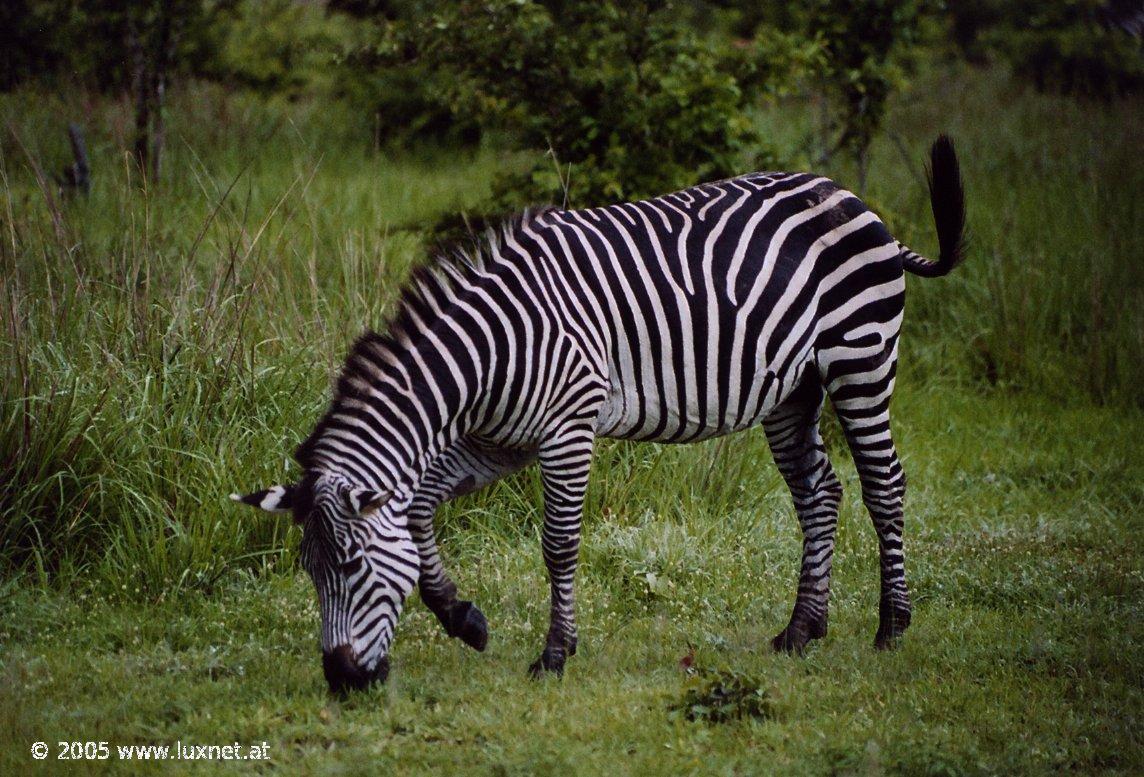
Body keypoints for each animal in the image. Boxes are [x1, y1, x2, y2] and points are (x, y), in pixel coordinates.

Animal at [232, 133, 965, 691]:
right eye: (310, 573)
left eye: (352, 568)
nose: (341, 680)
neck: (491, 350)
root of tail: (855, 201)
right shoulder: (499, 442)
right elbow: (417, 510)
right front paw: (464, 618)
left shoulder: (568, 430)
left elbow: (558, 544)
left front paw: (555, 654)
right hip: (793, 389)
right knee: (819, 493)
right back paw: (801, 630)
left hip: (860, 358)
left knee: (884, 485)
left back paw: (891, 626)